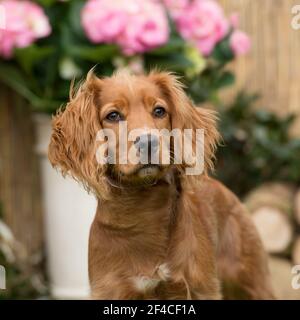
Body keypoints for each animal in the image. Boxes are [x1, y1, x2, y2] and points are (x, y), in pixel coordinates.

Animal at [48, 70, 274, 300]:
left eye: (159, 111)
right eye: (113, 116)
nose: (149, 142)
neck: (142, 209)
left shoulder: (201, 288)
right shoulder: (111, 289)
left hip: (254, 283)